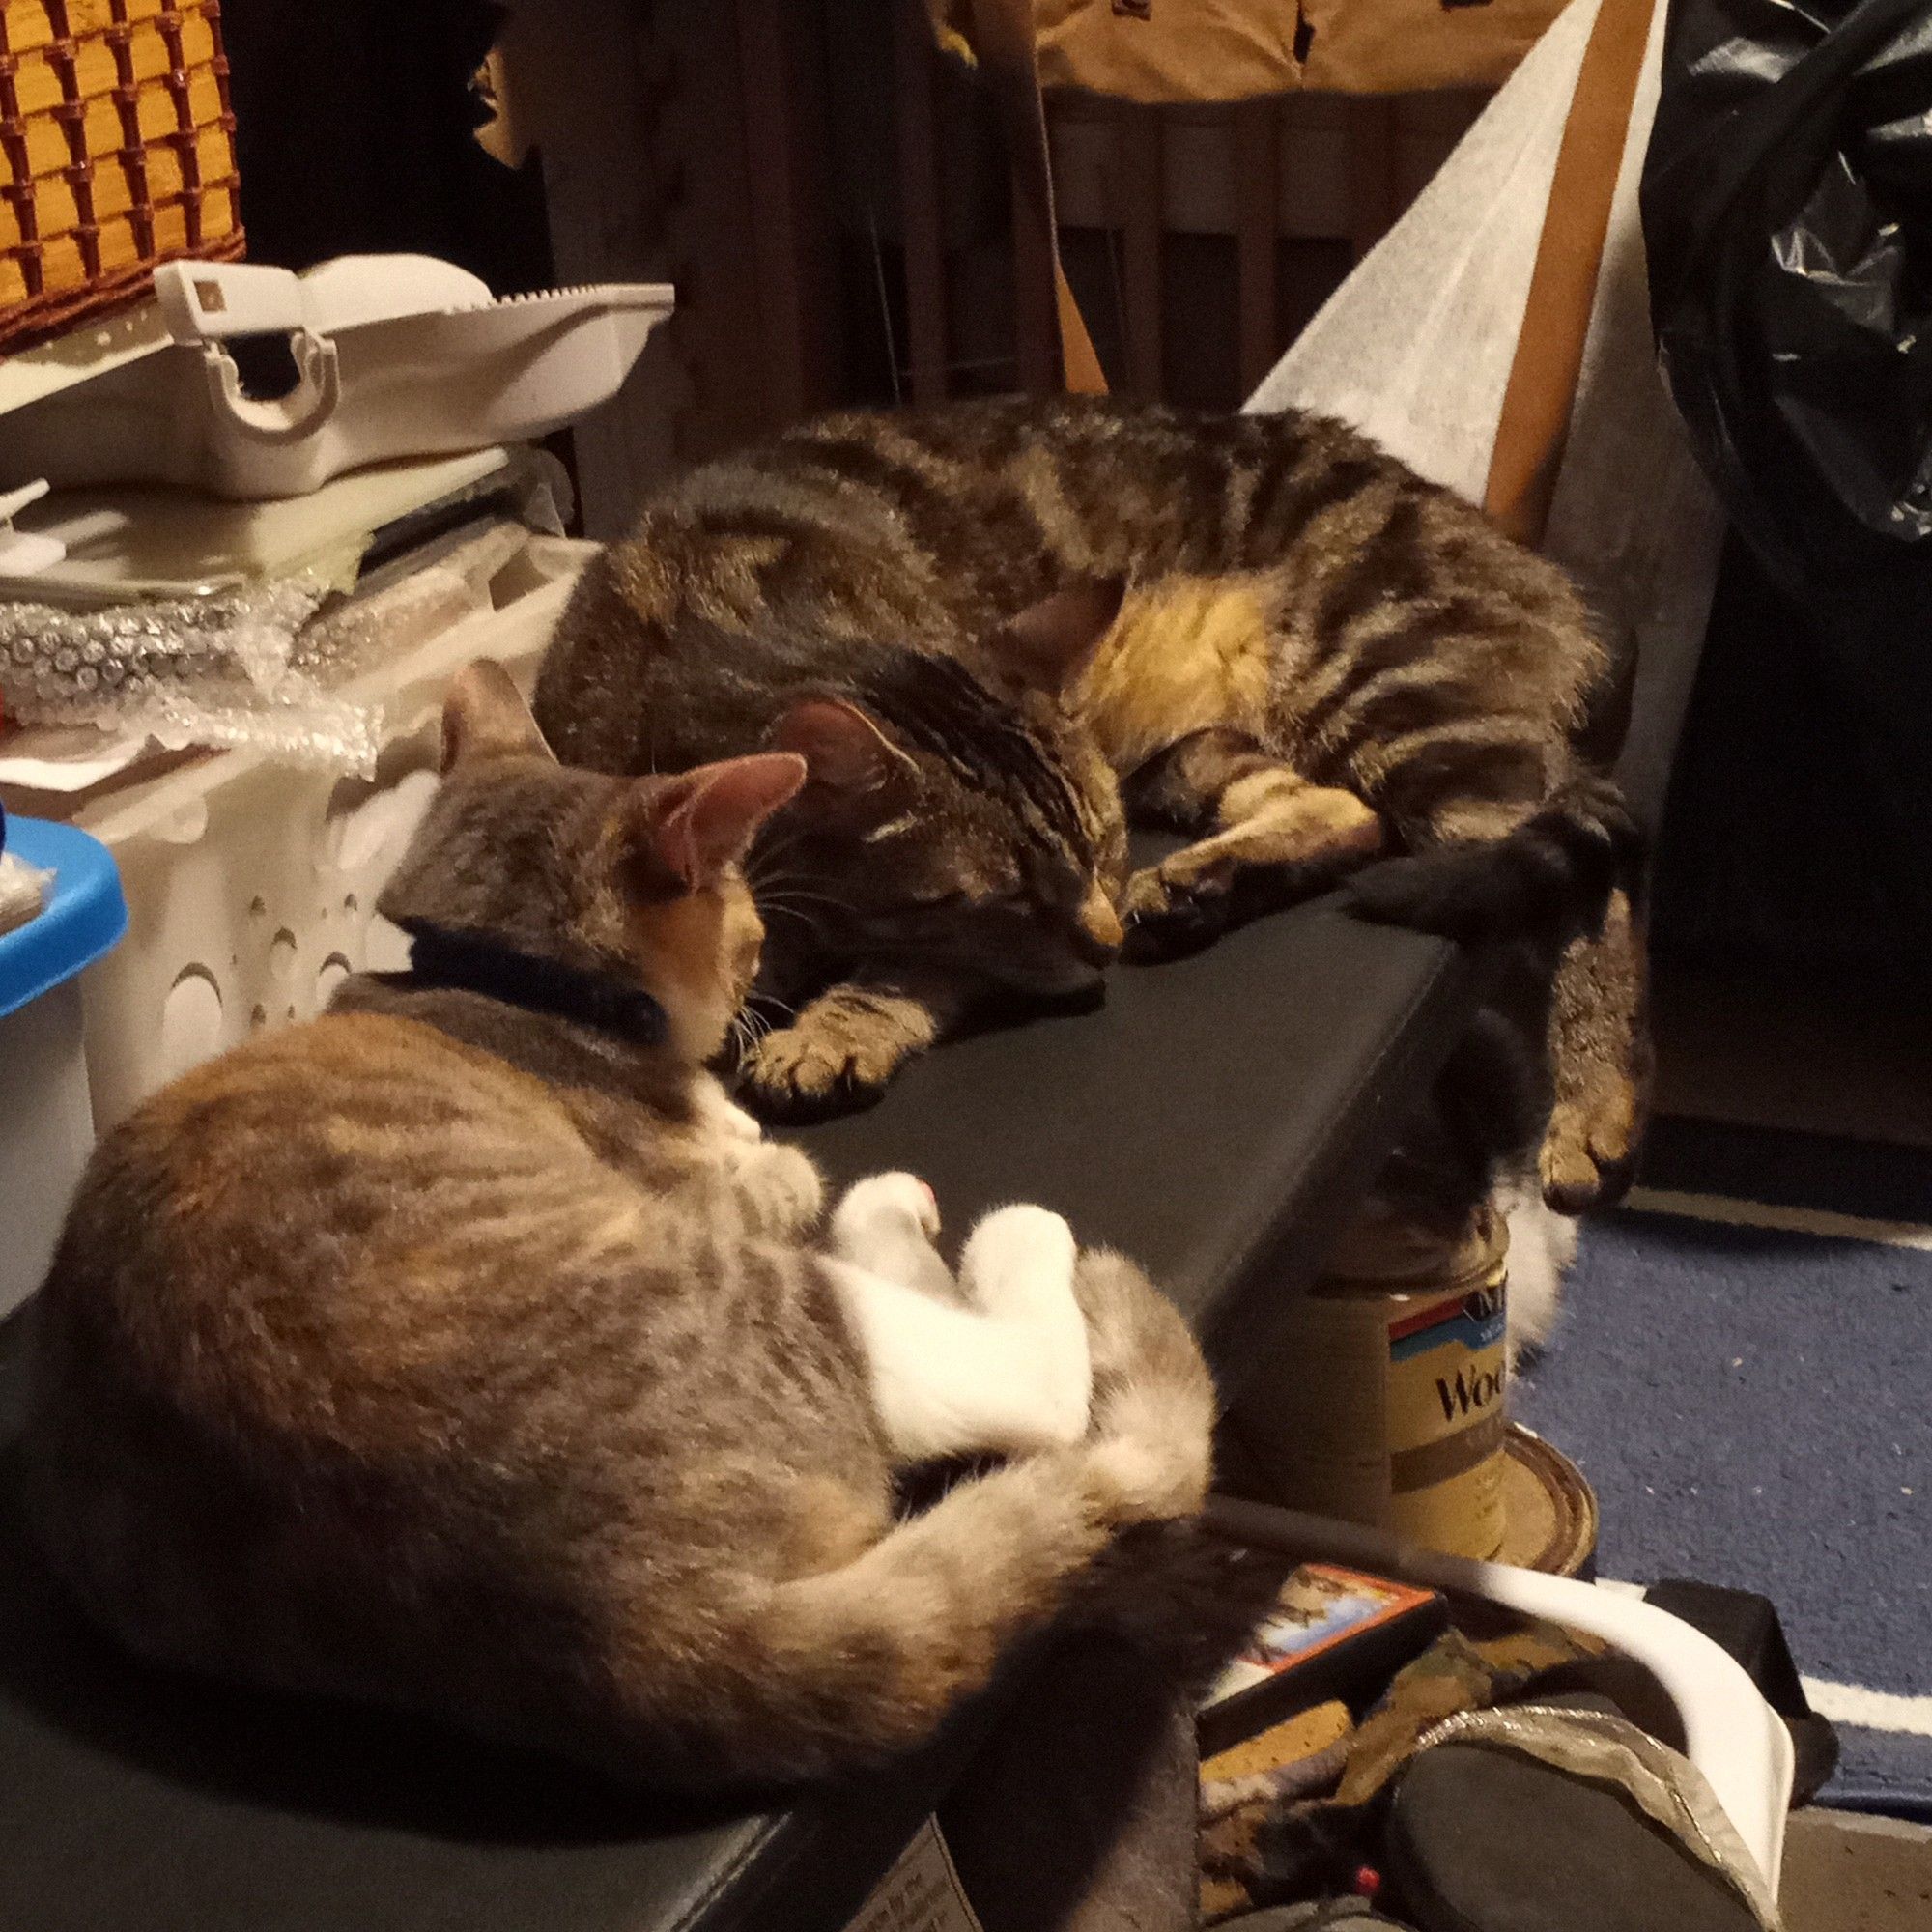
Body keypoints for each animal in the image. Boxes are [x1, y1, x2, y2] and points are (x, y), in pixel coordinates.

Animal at [22, 665, 1213, 1793]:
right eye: (747, 932)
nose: (756, 979)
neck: (510, 983)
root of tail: (635, 1632)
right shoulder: (705, 1186)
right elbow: (776, 1164)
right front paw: (751, 1124)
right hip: (774, 1296)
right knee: (1021, 1380)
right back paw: (983, 1228)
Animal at [541, 394, 1646, 1213]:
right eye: (1011, 892)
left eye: (1104, 848)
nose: (1107, 937)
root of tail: (1531, 565)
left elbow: (906, 970)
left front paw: (832, 1030)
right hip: (1201, 751)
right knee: (1343, 811)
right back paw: (1197, 888)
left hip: (1411, 717)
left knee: (1591, 899)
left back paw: (1594, 1102)